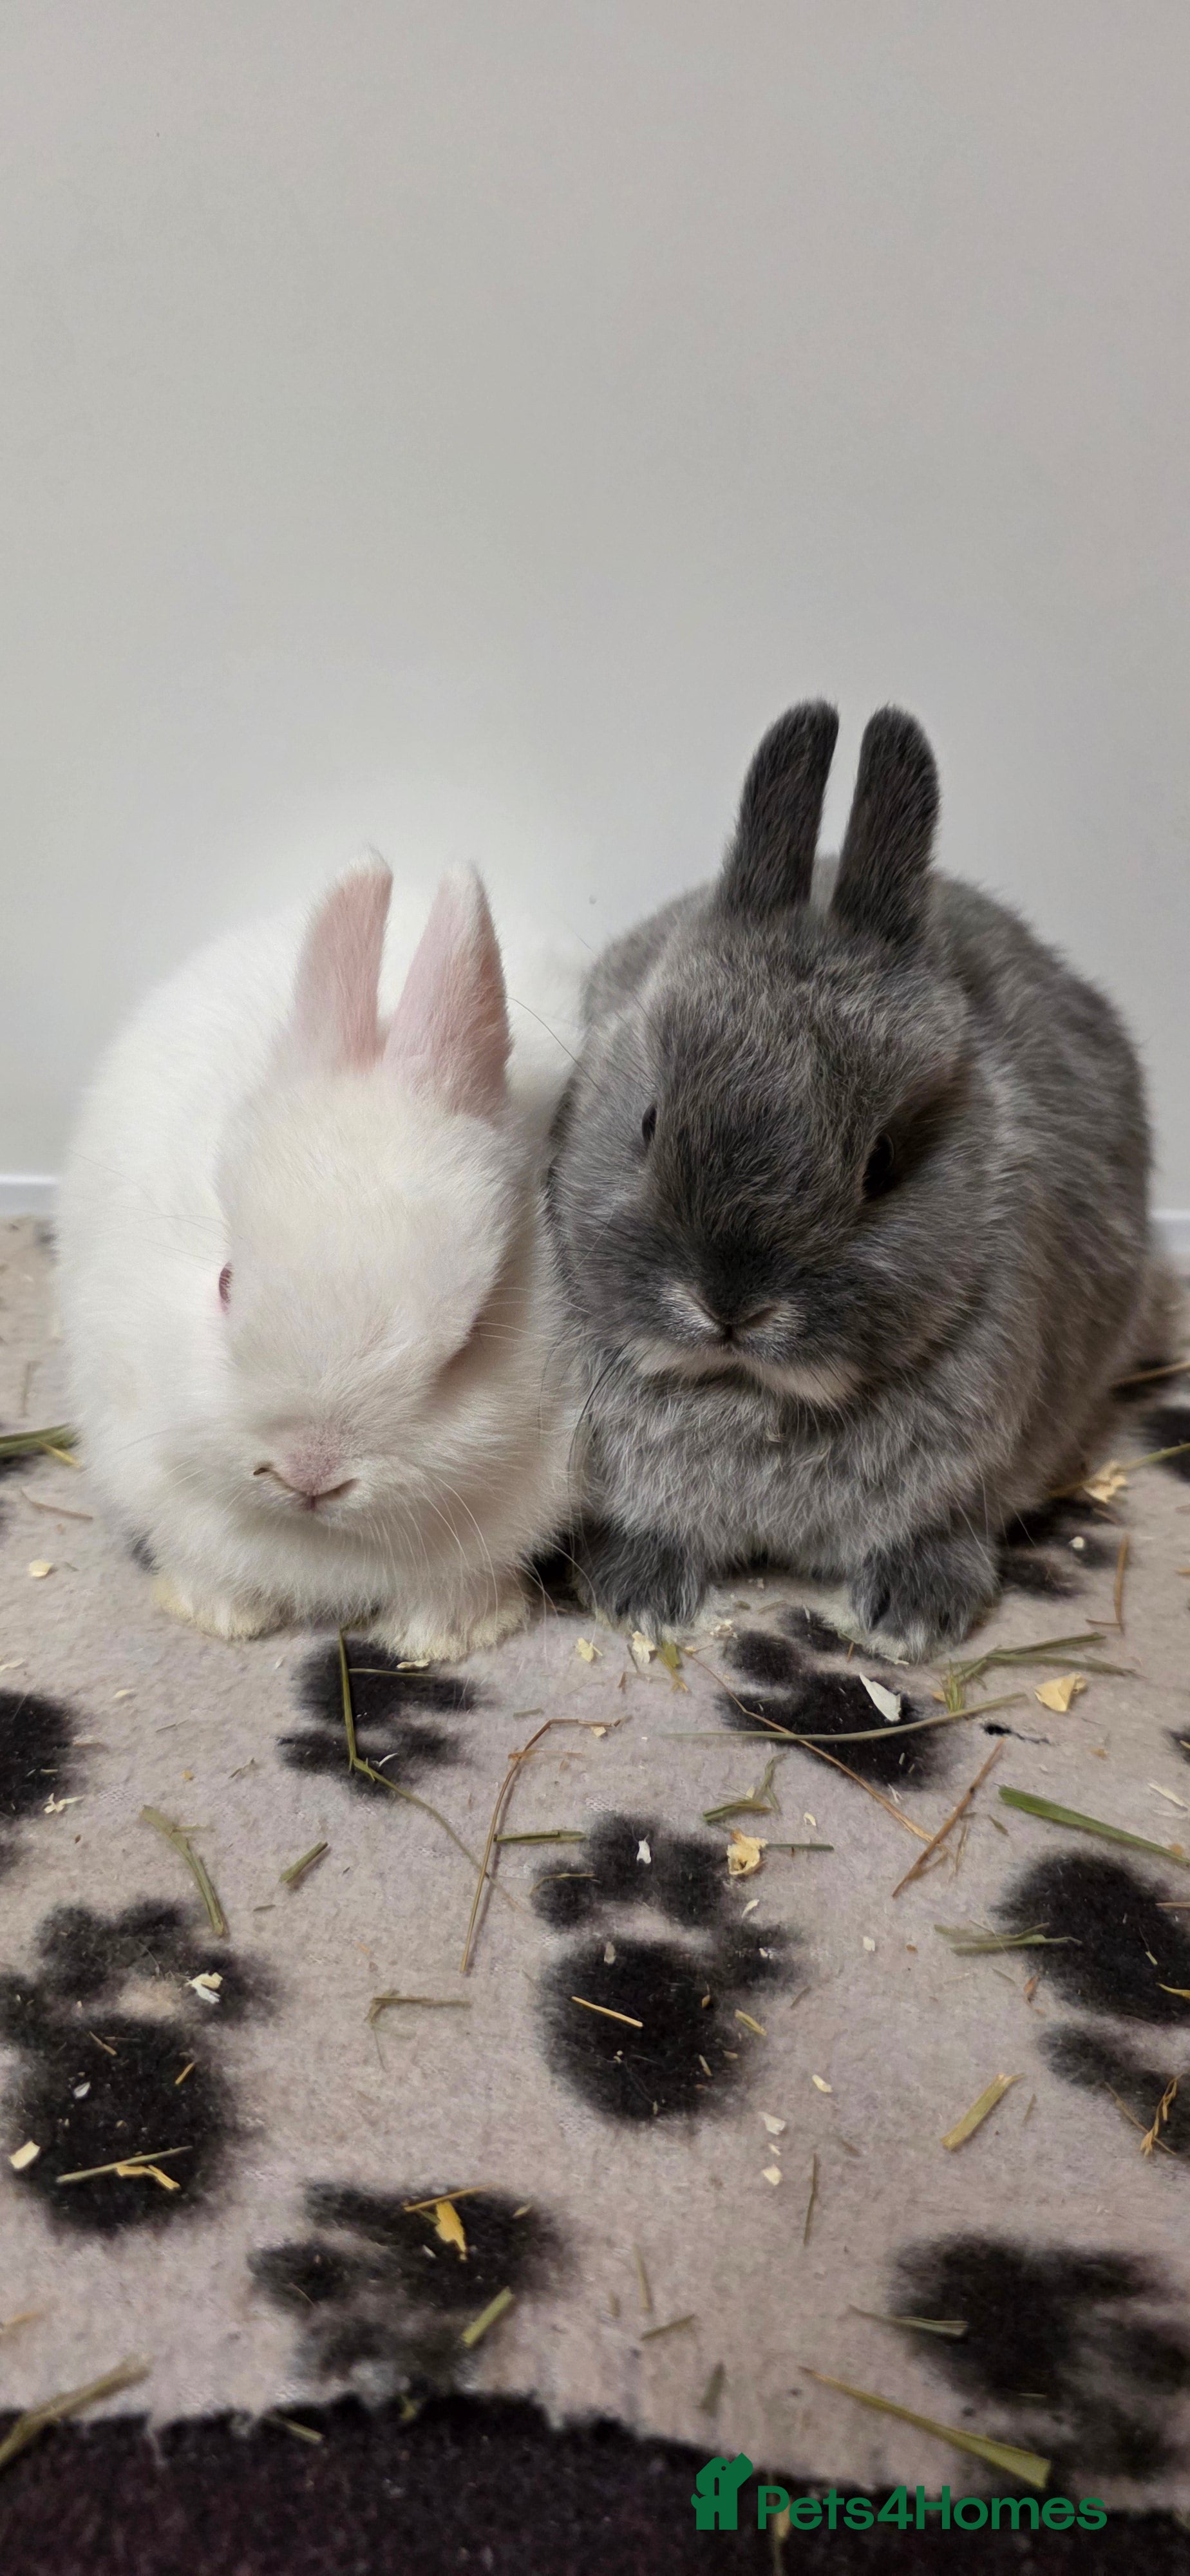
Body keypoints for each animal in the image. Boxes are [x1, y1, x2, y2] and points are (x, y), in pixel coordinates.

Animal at [547, 700, 1172, 1661]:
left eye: (881, 1161)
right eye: (648, 1122)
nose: (728, 1304)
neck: (750, 1396)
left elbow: (943, 1525)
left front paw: (912, 1619)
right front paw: (637, 1595)